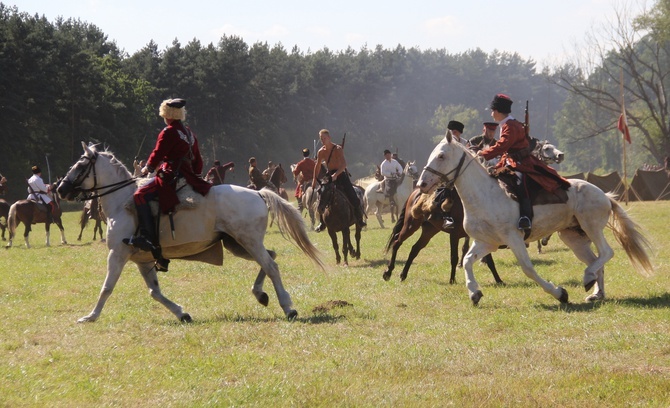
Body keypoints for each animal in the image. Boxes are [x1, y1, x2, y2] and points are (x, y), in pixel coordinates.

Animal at [56, 143, 324, 322]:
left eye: (81, 165)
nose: (60, 189)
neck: (122, 201)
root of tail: (259, 192)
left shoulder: (117, 254)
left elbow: (107, 287)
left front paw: (91, 316)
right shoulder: (143, 259)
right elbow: (155, 291)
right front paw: (181, 313)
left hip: (248, 242)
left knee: (271, 266)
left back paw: (288, 307)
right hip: (237, 244)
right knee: (271, 259)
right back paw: (260, 295)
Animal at [418, 135, 652, 306]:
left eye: (441, 156)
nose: (422, 184)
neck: (484, 195)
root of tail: (604, 195)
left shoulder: (514, 239)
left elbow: (528, 268)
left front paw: (559, 293)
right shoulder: (486, 242)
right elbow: (467, 261)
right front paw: (474, 293)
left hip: (591, 226)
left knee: (606, 253)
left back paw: (588, 278)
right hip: (573, 237)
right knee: (595, 260)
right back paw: (596, 291)